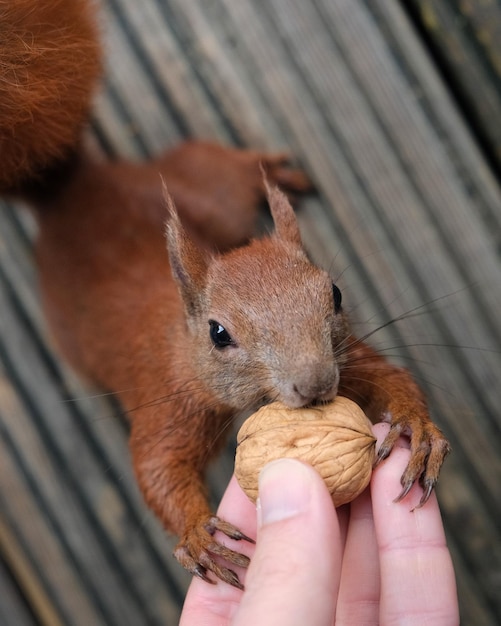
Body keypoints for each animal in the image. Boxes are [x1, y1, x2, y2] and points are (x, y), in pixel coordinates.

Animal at [1, 0, 450, 588]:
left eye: (334, 294)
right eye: (218, 334)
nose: (316, 386)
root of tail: (67, 190)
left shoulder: (345, 358)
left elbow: (387, 375)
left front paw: (416, 428)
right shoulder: (171, 396)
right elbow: (157, 466)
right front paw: (198, 535)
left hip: (215, 192)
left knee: (227, 172)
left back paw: (269, 168)